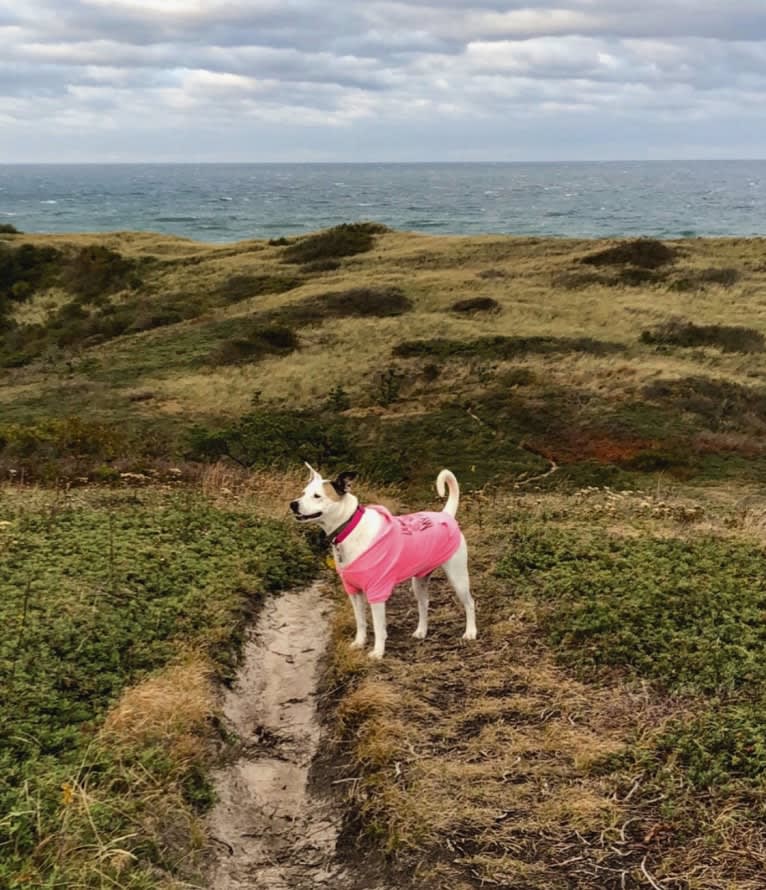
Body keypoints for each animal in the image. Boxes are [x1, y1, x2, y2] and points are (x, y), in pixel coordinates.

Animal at [292, 462, 476, 656]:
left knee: (470, 603)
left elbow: (379, 627)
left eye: (317, 496)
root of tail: (446, 515)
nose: (293, 504)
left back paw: (471, 632)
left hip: (458, 577)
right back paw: (421, 631)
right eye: (303, 493)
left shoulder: (377, 592)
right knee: (424, 604)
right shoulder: (354, 592)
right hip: (419, 581)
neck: (349, 528)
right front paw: (359, 642)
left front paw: (378, 652)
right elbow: (361, 621)